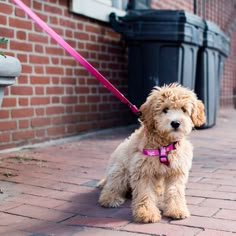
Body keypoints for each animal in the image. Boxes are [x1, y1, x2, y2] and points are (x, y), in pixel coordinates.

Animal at [97, 83, 205, 223]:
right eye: (165, 109)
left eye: (183, 109)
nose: (175, 123)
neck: (164, 145)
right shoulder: (143, 171)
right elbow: (145, 193)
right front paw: (146, 213)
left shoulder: (177, 171)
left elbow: (175, 191)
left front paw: (177, 210)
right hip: (120, 170)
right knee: (112, 185)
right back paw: (110, 199)